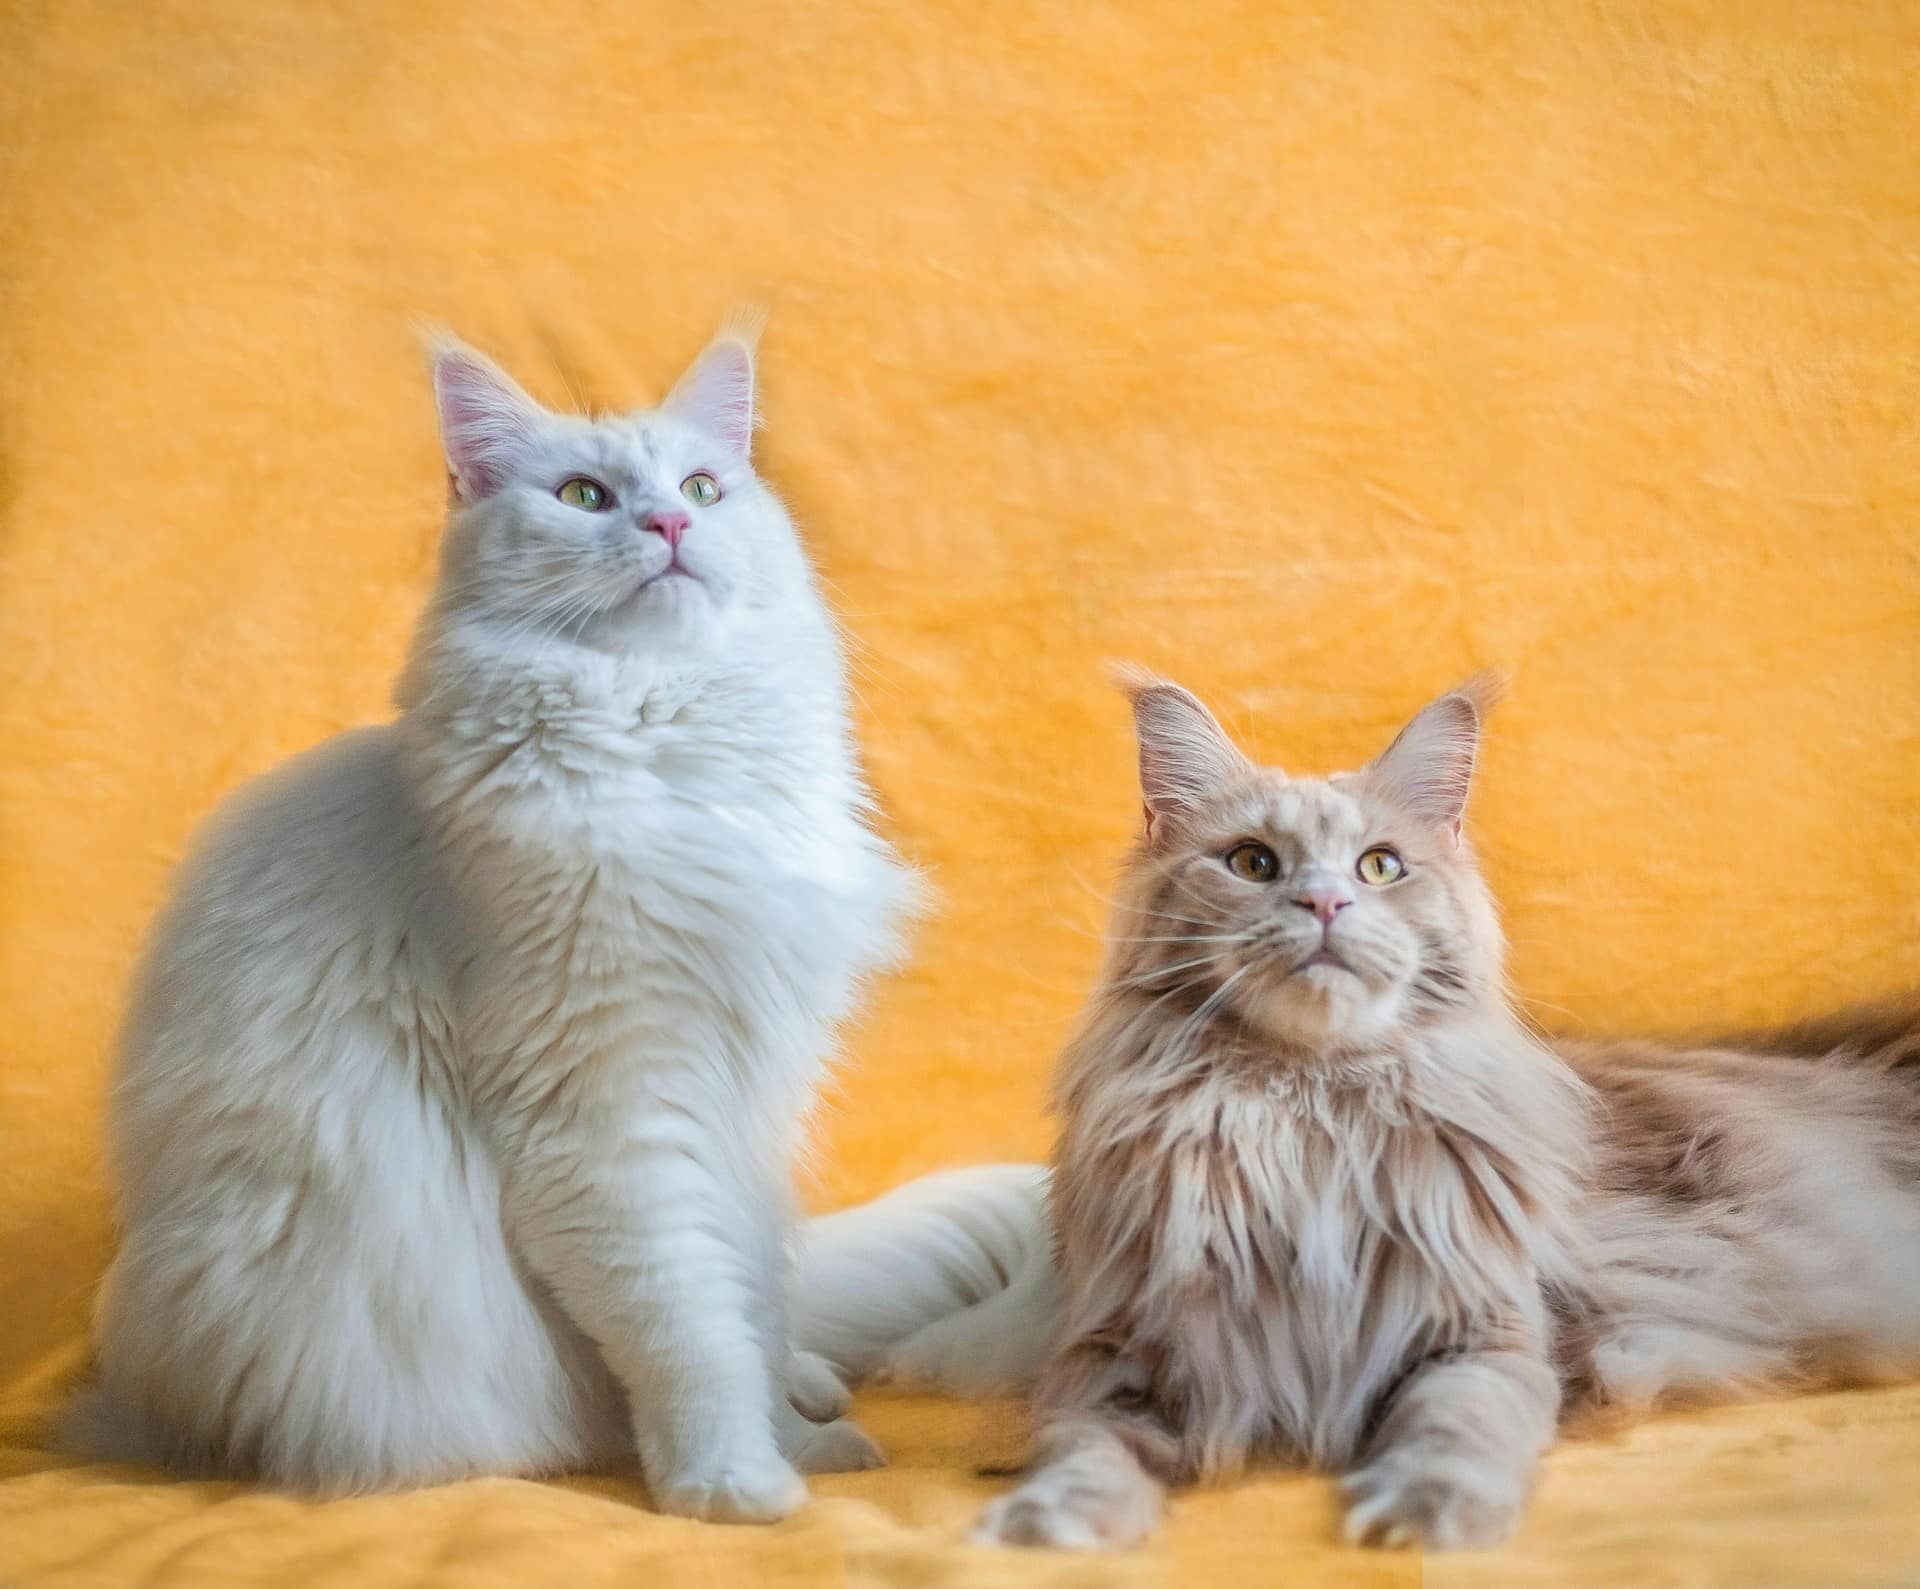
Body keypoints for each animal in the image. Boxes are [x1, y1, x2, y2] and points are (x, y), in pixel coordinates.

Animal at [69, 326, 983, 1527]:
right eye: (584, 495)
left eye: (703, 487)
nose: (670, 525)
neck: (669, 743)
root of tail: (129, 1402)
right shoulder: (606, 1110)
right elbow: (692, 1330)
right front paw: (733, 1482)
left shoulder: (743, 1097)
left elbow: (748, 1298)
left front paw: (799, 1444)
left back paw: (812, 1384)